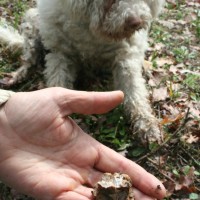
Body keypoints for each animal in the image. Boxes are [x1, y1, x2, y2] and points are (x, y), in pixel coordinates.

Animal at [0, 0, 166, 144]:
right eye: (110, 0)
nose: (136, 21)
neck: (94, 32)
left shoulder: (125, 55)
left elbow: (134, 91)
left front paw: (146, 124)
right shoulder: (59, 53)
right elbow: (58, 84)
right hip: (32, 22)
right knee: (30, 59)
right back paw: (17, 75)